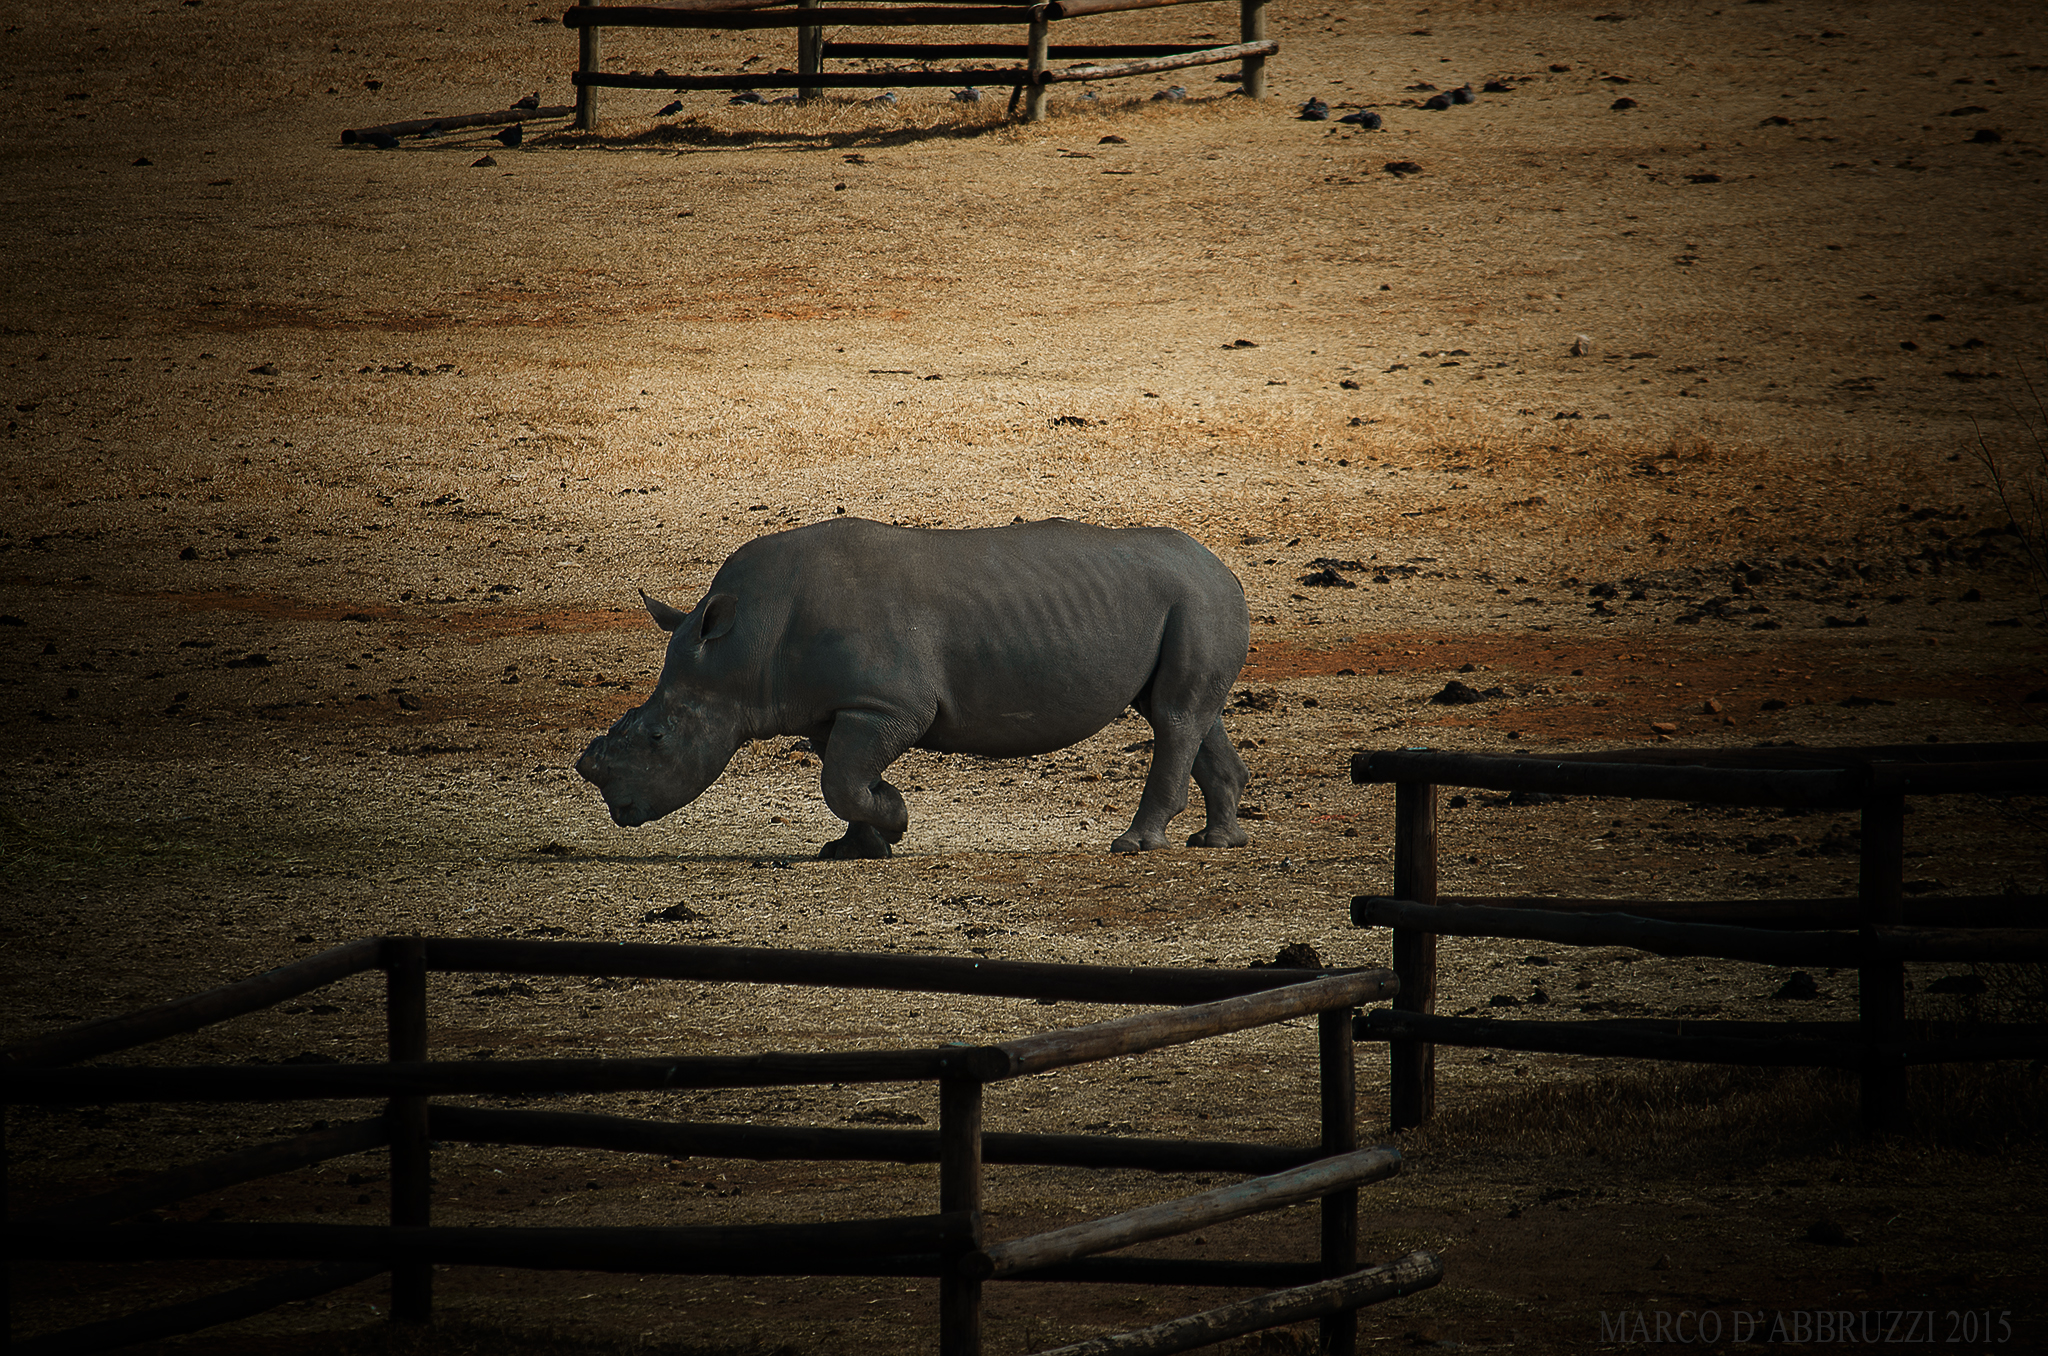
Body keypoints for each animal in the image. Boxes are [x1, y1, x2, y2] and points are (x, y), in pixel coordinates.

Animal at [574, 516, 1251, 858]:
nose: (619, 810)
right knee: (1185, 713)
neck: (744, 646)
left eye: (658, 736)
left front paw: (895, 821)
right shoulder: (833, 707)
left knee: (1174, 715)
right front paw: (855, 847)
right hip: (1189, 600)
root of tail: (1222, 564)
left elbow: (842, 779)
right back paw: (1218, 842)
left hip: (1197, 597)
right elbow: (841, 777)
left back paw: (1134, 846)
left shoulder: (888, 704)